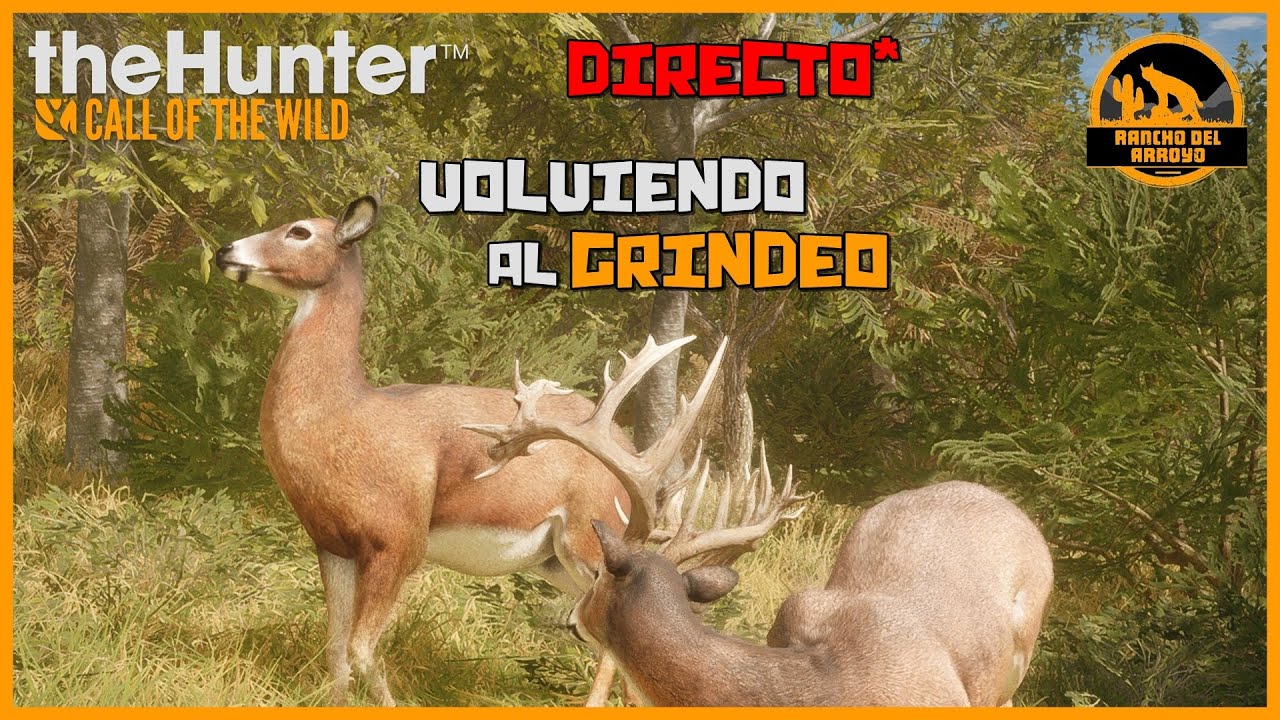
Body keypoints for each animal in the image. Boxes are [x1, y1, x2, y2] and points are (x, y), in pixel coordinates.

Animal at [213, 194, 641, 706]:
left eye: (299, 231)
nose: (224, 251)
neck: (341, 415)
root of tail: (631, 448)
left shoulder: (397, 540)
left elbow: (361, 650)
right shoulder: (331, 542)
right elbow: (335, 648)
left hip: (590, 535)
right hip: (552, 560)